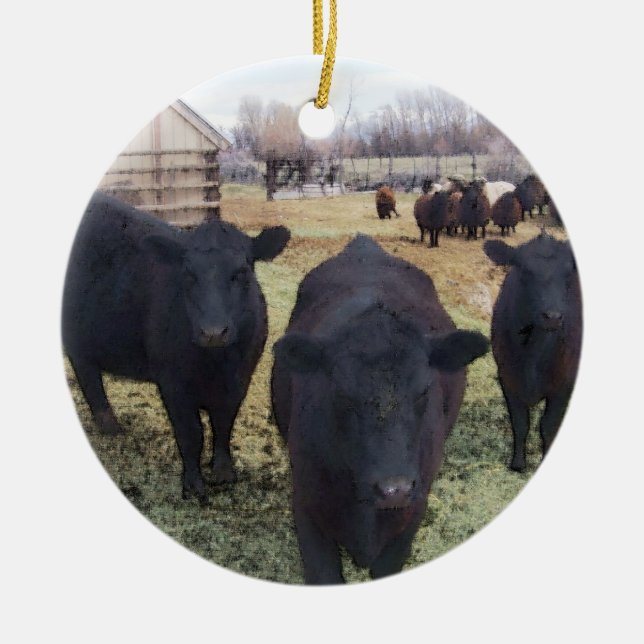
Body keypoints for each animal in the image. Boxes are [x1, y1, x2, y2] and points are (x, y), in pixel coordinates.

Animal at [62, 192, 290, 501]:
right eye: (188, 273)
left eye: (242, 271)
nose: (213, 332)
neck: (216, 363)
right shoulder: (172, 382)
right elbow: (191, 434)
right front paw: (193, 484)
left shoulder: (240, 378)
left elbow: (224, 423)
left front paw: (224, 473)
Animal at [484, 233, 582, 472]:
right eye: (525, 270)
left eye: (568, 273)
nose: (553, 316)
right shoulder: (507, 376)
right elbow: (520, 423)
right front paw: (518, 463)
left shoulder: (564, 382)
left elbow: (548, 425)